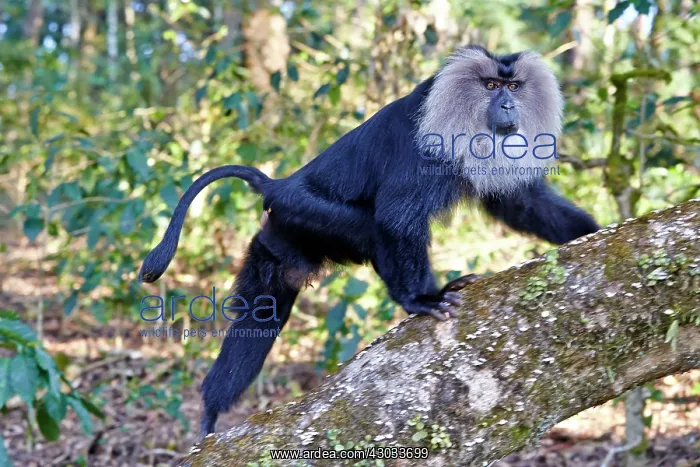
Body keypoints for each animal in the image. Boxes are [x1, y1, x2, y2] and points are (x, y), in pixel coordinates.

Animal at [138, 45, 600, 439]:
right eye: (490, 86)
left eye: (514, 87)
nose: (507, 106)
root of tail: (279, 184)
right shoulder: (426, 150)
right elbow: (396, 214)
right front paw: (421, 299)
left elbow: (520, 202)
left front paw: (589, 230)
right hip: (304, 210)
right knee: (375, 228)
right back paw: (416, 299)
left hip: (278, 241)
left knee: (261, 315)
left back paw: (212, 408)